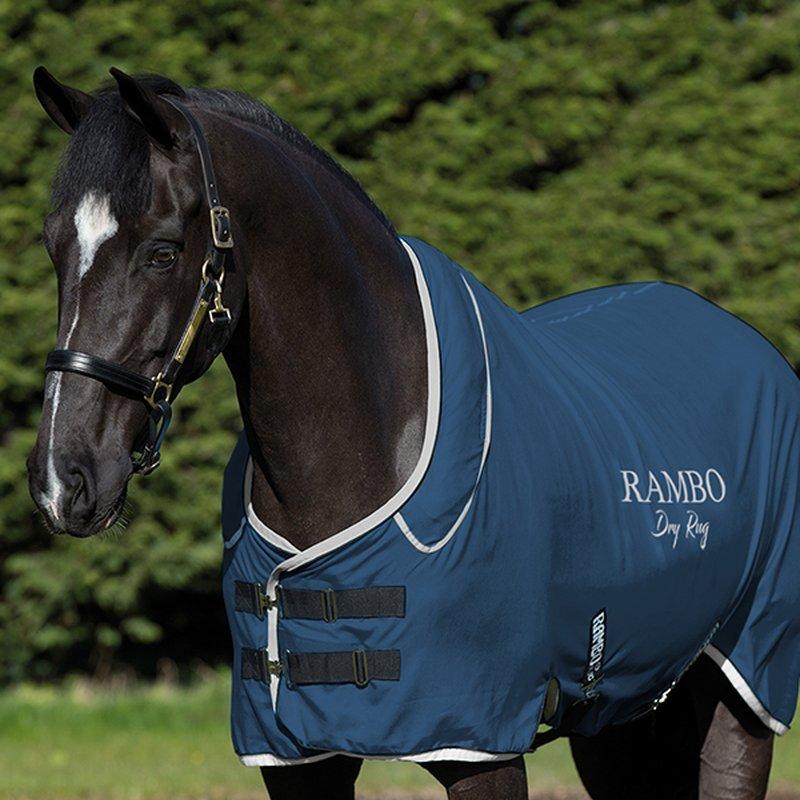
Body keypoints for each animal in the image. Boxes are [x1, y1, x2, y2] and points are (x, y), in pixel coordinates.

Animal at [27, 67, 798, 800]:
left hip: (744, 682)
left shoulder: (478, 743)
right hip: (623, 720)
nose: (62, 479)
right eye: (54, 247)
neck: (370, 438)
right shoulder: (294, 760)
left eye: (161, 251)